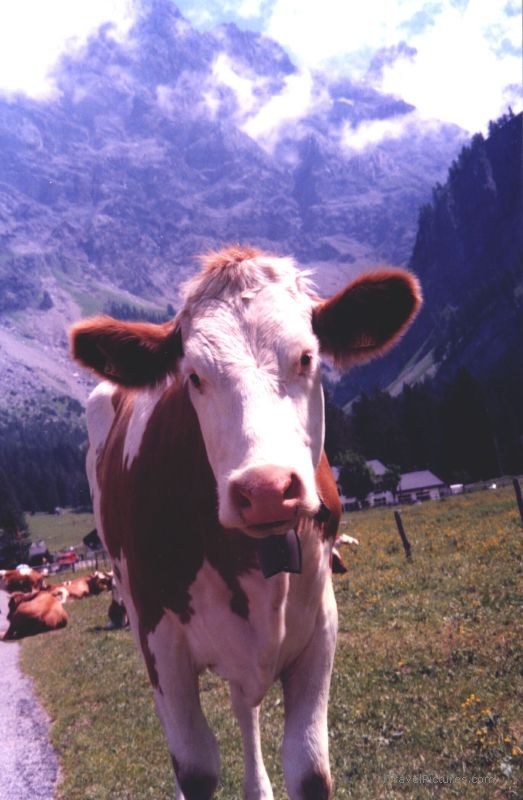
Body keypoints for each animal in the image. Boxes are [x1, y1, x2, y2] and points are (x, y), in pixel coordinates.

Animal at [71, 245, 421, 799]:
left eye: (307, 357)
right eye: (193, 376)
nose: (266, 490)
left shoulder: (321, 625)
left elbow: (309, 768)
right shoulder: (159, 640)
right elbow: (195, 767)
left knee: (243, 705)